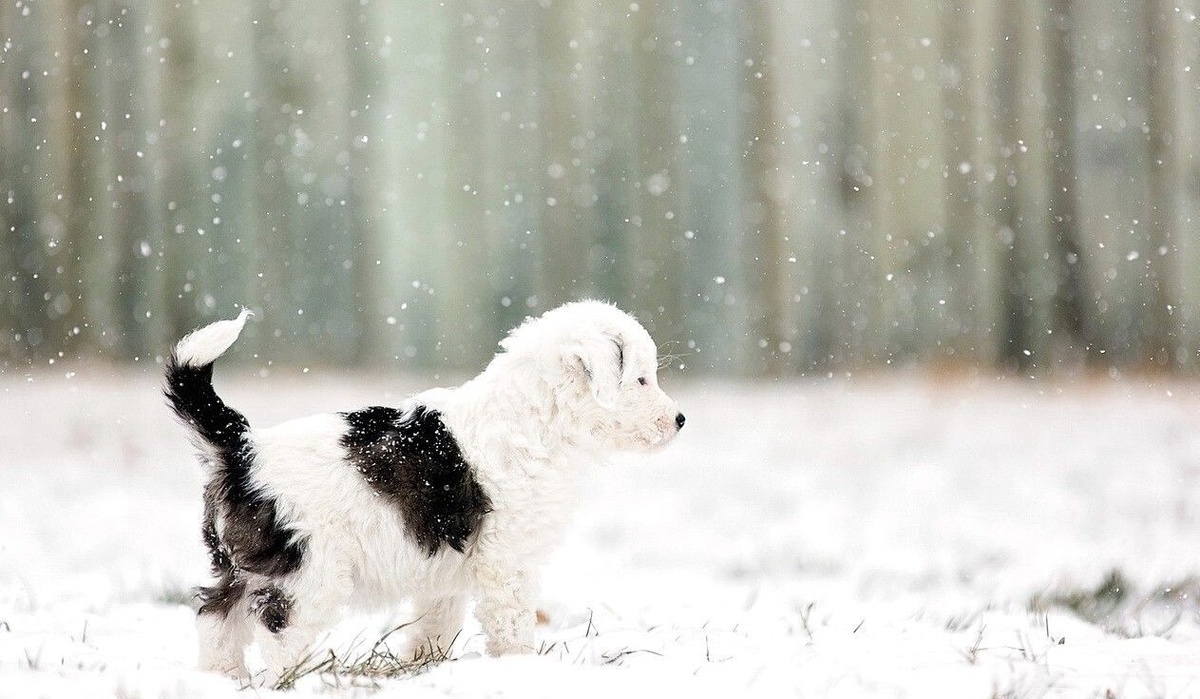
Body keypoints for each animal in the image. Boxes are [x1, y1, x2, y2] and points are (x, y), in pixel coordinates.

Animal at [164, 300, 686, 686]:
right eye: (641, 379)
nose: (681, 420)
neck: (536, 419)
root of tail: (242, 451)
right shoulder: (508, 560)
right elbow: (512, 619)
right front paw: (521, 666)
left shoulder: (448, 568)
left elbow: (437, 622)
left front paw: (422, 664)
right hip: (308, 570)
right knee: (276, 628)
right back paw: (294, 678)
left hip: (240, 562)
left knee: (215, 615)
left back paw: (222, 678)